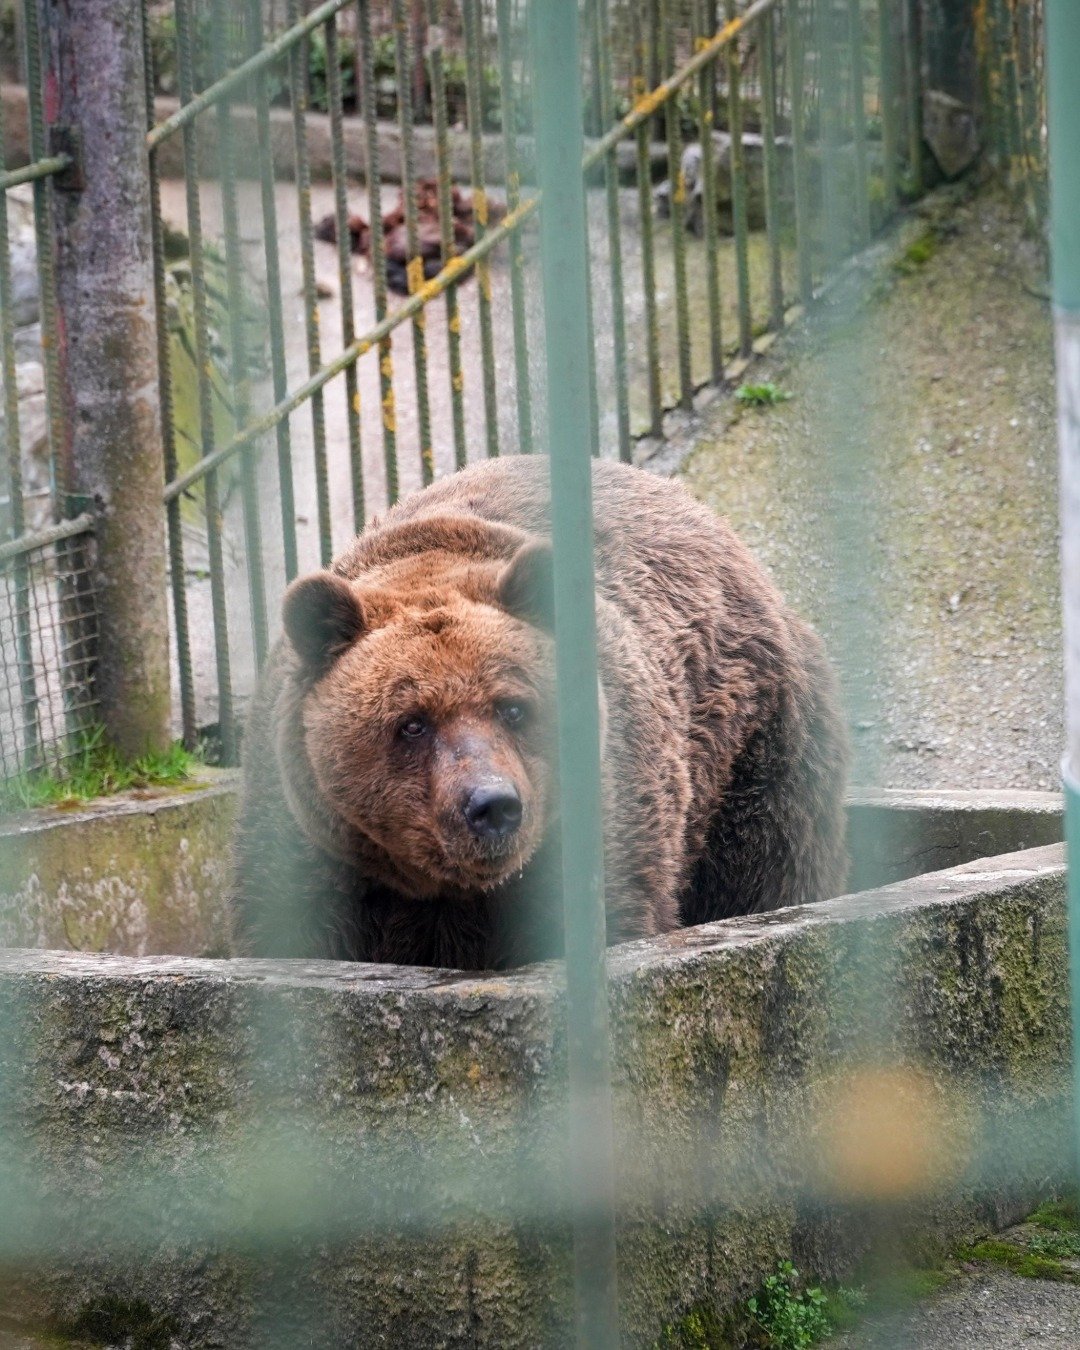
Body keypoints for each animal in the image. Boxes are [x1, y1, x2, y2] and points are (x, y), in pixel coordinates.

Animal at [234, 456, 848, 970]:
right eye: (411, 722)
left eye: (513, 707)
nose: (492, 805)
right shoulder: (310, 837)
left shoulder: (603, 804)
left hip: (752, 742)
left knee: (767, 863)